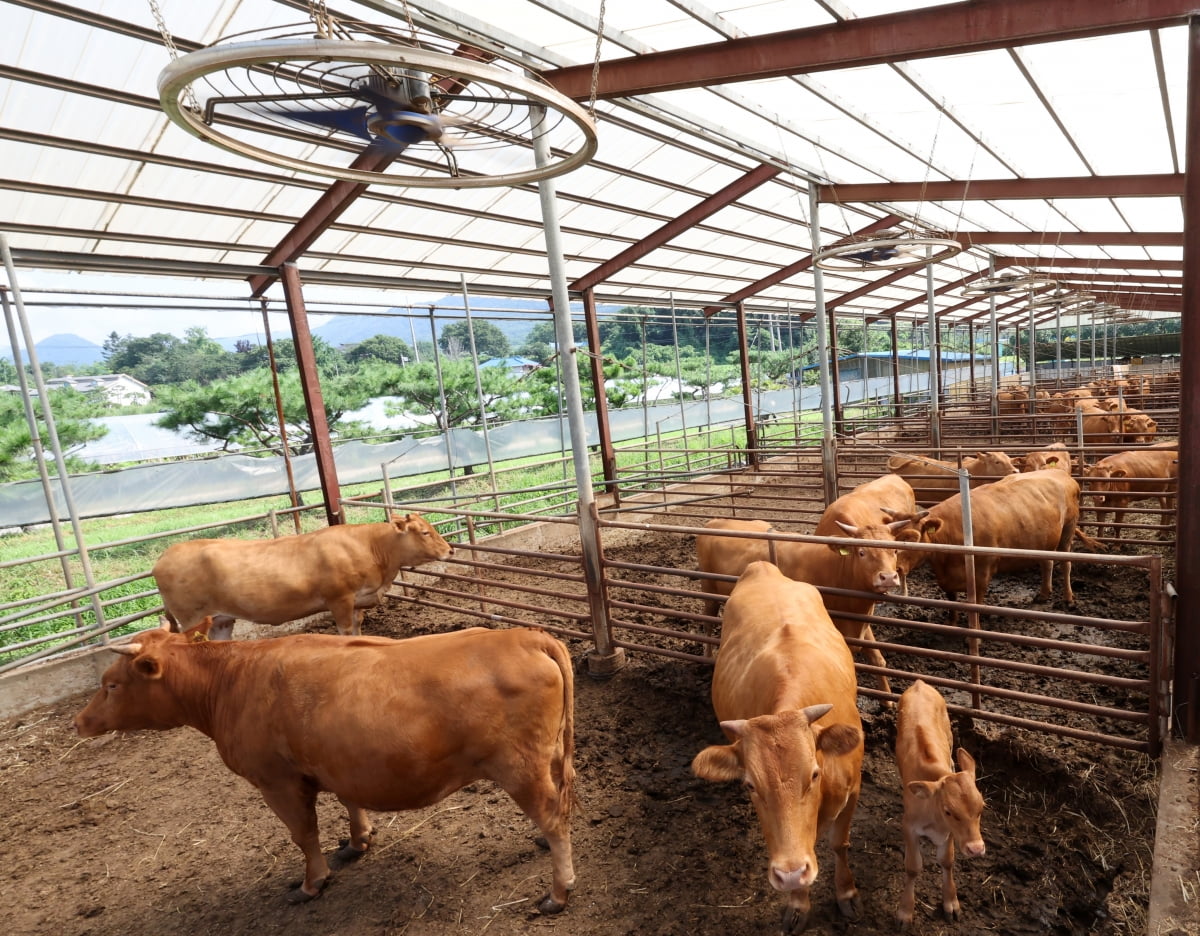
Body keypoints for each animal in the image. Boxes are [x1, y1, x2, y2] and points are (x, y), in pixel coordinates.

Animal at [73, 624, 576, 912]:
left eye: (112, 684)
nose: (79, 722)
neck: (232, 680)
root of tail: (525, 635)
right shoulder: (341, 761)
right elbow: (350, 802)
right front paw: (357, 841)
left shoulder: (276, 781)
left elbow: (303, 833)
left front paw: (312, 882)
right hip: (551, 754)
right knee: (562, 803)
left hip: (519, 767)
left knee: (553, 816)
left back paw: (558, 891)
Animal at [150, 511, 451, 638]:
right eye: (425, 532)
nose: (449, 550)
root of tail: (164, 556)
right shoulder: (339, 600)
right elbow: (345, 631)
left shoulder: (358, 601)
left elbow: (357, 628)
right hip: (192, 619)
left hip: (221, 619)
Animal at [892, 681, 984, 926]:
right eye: (948, 811)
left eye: (981, 808)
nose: (976, 849)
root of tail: (919, 683)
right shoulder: (908, 826)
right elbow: (913, 867)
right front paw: (905, 911)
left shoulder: (950, 832)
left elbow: (947, 861)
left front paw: (951, 902)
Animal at [907, 468, 1104, 607]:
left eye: (913, 538)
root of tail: (1064, 475)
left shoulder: (982, 571)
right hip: (1046, 539)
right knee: (1047, 563)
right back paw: (1043, 594)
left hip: (1067, 530)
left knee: (1065, 563)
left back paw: (1068, 598)